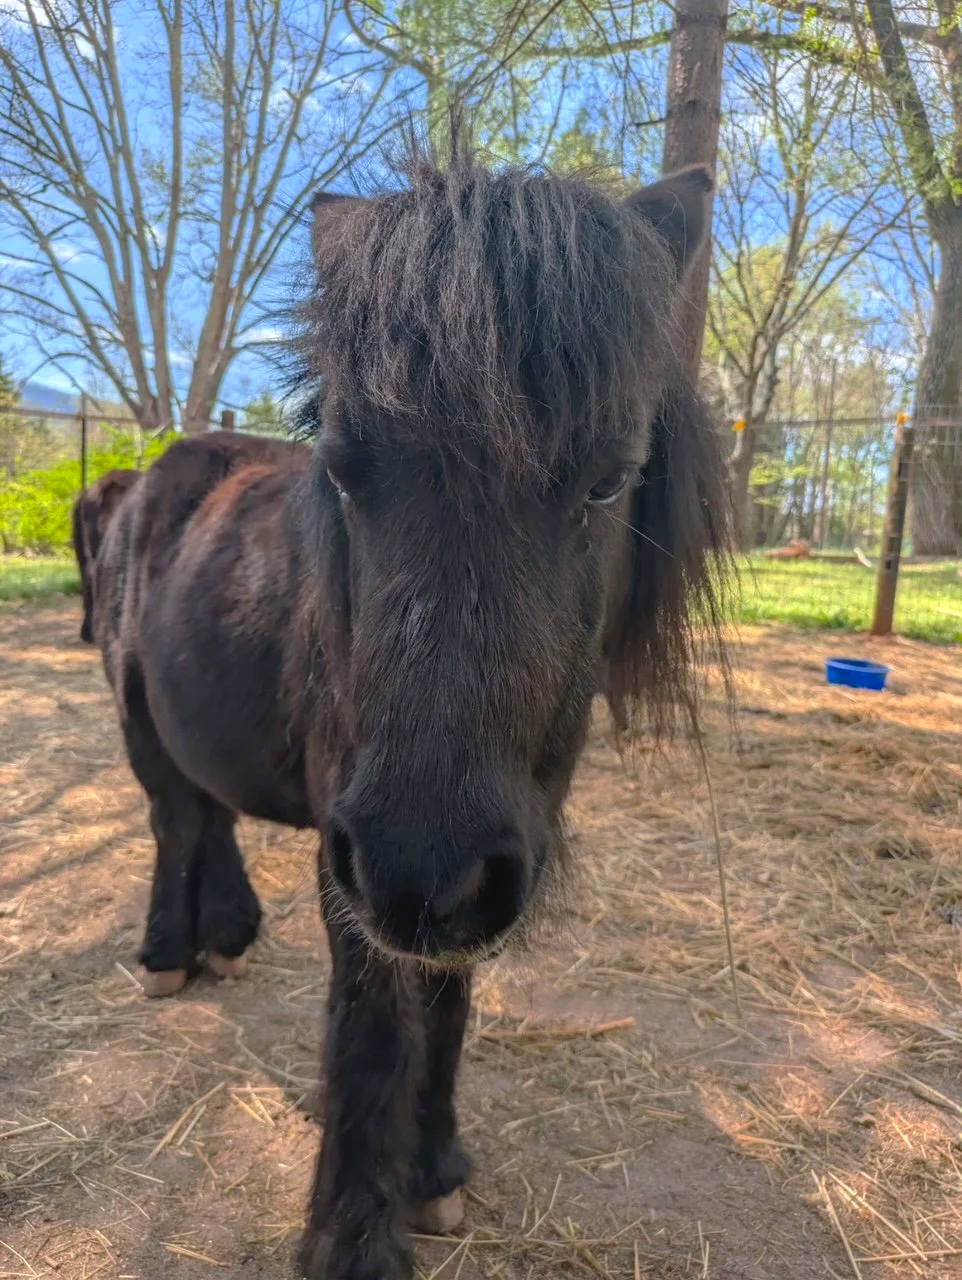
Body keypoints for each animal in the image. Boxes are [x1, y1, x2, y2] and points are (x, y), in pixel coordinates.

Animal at [92, 142, 730, 1280]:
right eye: (345, 470)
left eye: (610, 479)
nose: (419, 863)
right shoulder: (358, 861)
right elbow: (373, 1029)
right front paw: (350, 1235)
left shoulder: (490, 854)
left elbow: (449, 998)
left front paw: (433, 1169)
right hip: (139, 717)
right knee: (174, 819)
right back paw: (171, 953)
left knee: (206, 812)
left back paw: (225, 935)